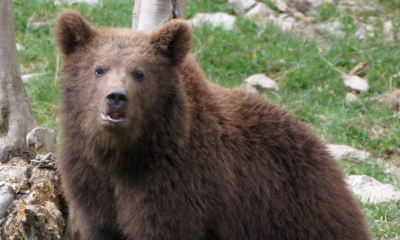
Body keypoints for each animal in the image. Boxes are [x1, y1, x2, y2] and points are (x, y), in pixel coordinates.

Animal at [54, 9, 370, 240]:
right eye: (99, 68)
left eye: (139, 73)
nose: (116, 98)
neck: (124, 152)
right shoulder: (91, 179)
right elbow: (101, 224)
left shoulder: (176, 183)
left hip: (299, 209)